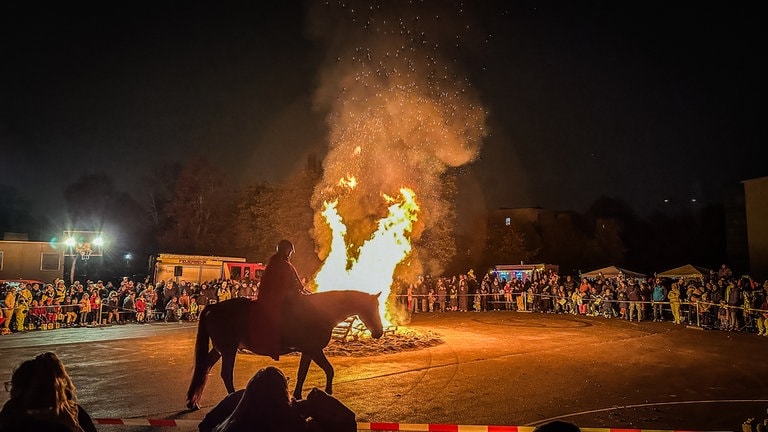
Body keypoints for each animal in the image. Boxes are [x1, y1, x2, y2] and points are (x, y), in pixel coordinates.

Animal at [183, 290, 380, 408]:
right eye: (372, 307)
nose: (379, 332)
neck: (320, 311)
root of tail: (213, 307)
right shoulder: (314, 350)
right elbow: (329, 370)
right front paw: (328, 392)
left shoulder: (308, 351)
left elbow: (302, 373)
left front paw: (298, 395)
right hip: (229, 350)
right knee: (225, 374)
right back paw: (232, 398)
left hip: (220, 350)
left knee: (205, 367)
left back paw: (194, 401)